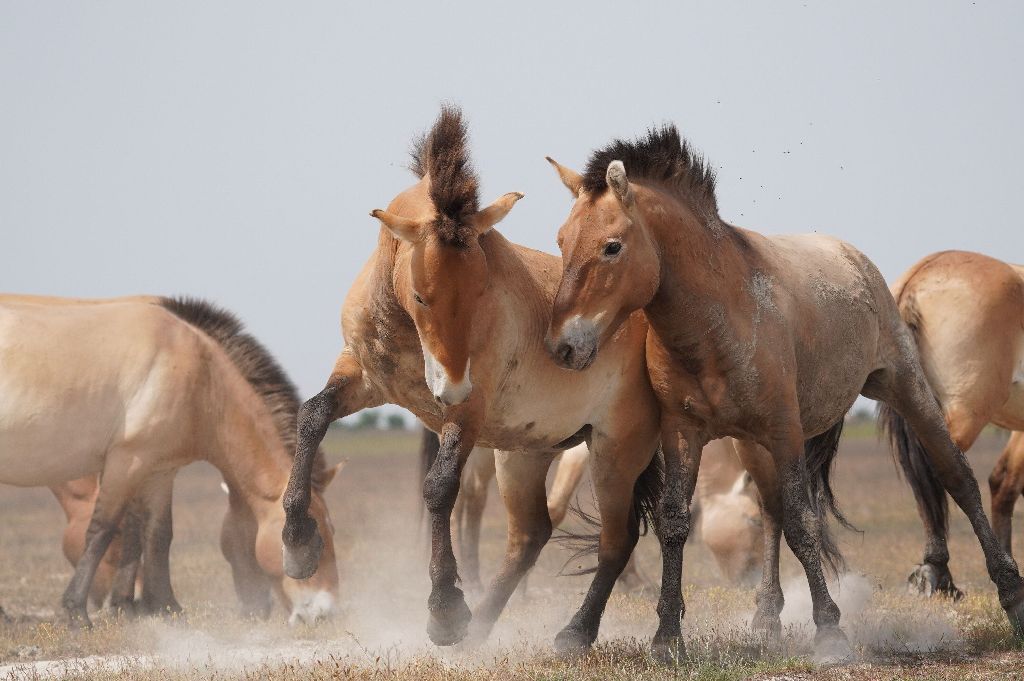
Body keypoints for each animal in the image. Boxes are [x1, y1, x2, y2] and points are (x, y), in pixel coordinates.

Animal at [0, 294, 344, 622]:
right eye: (315, 536)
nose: (325, 613)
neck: (200, 378)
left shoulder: (159, 471)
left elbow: (158, 534)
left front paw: (164, 608)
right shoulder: (126, 464)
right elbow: (102, 531)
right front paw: (77, 613)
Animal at [280, 103, 663, 651]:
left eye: (483, 289)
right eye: (422, 296)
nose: (452, 386)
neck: (403, 328)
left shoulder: (467, 416)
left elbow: (440, 488)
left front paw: (444, 610)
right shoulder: (361, 376)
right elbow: (312, 417)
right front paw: (298, 543)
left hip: (615, 450)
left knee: (618, 537)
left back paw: (569, 632)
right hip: (526, 451)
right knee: (530, 535)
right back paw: (482, 625)